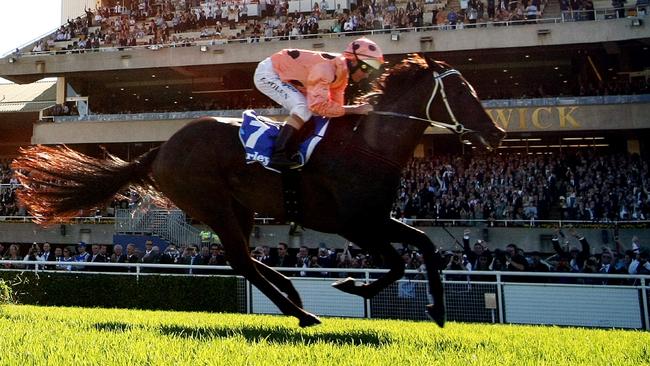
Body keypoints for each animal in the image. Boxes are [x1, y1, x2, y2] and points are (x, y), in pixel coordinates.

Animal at [12, 55, 504, 328]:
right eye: (462, 92)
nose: (496, 132)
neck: (369, 145)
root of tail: (160, 150)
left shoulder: (376, 219)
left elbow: (425, 245)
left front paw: (437, 311)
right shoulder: (355, 225)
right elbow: (399, 262)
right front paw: (350, 285)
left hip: (239, 208)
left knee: (245, 259)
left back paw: (292, 293)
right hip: (213, 205)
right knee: (242, 261)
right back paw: (302, 312)